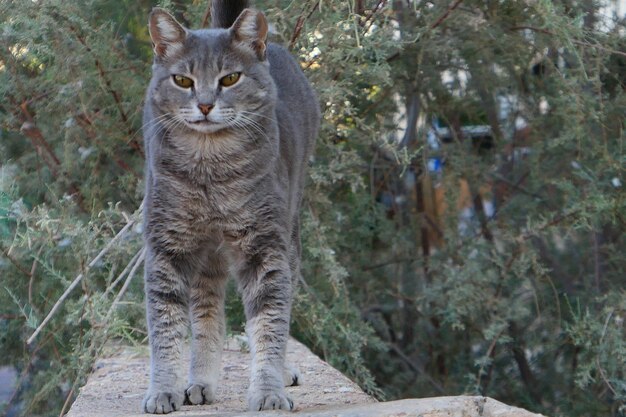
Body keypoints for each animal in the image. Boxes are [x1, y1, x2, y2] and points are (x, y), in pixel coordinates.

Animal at [140, 1, 320, 412]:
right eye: (183, 81)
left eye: (231, 78)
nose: (205, 104)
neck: (210, 168)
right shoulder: (167, 249)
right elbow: (166, 329)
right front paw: (163, 390)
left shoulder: (265, 249)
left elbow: (270, 323)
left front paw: (269, 391)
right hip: (206, 258)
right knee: (207, 316)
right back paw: (199, 382)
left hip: (290, 235)